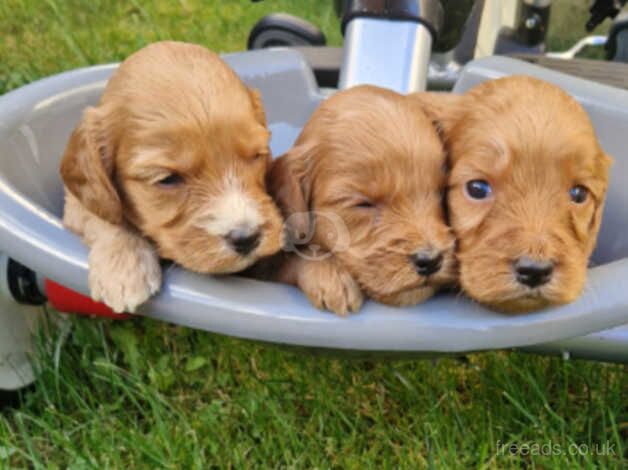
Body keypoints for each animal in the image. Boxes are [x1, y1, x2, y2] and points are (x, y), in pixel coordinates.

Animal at [60, 40, 282, 312]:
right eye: (168, 179)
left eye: (256, 156)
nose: (247, 238)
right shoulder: (74, 203)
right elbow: (102, 215)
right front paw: (124, 267)